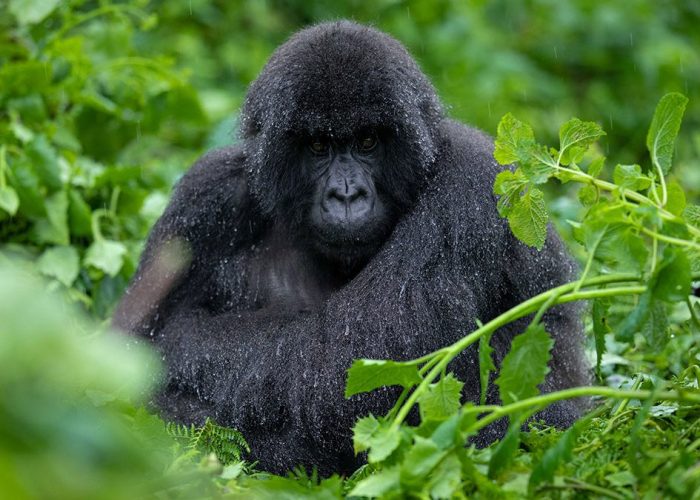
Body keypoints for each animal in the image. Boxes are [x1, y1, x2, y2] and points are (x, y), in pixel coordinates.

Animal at [113, 20, 584, 472]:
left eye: (368, 141)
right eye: (318, 145)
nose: (346, 195)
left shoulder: (471, 185)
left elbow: (345, 363)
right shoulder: (205, 198)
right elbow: (129, 345)